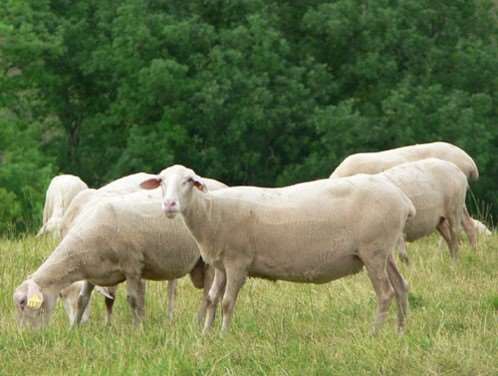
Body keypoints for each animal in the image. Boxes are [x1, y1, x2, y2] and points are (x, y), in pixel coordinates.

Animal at [141, 164, 416, 334]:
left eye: (189, 180)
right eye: (161, 181)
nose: (169, 204)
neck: (211, 213)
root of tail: (404, 200)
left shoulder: (237, 262)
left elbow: (227, 302)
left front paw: (222, 335)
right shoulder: (220, 265)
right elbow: (211, 299)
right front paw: (206, 335)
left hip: (373, 250)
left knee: (386, 293)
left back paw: (375, 333)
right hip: (384, 250)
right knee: (401, 286)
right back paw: (400, 332)